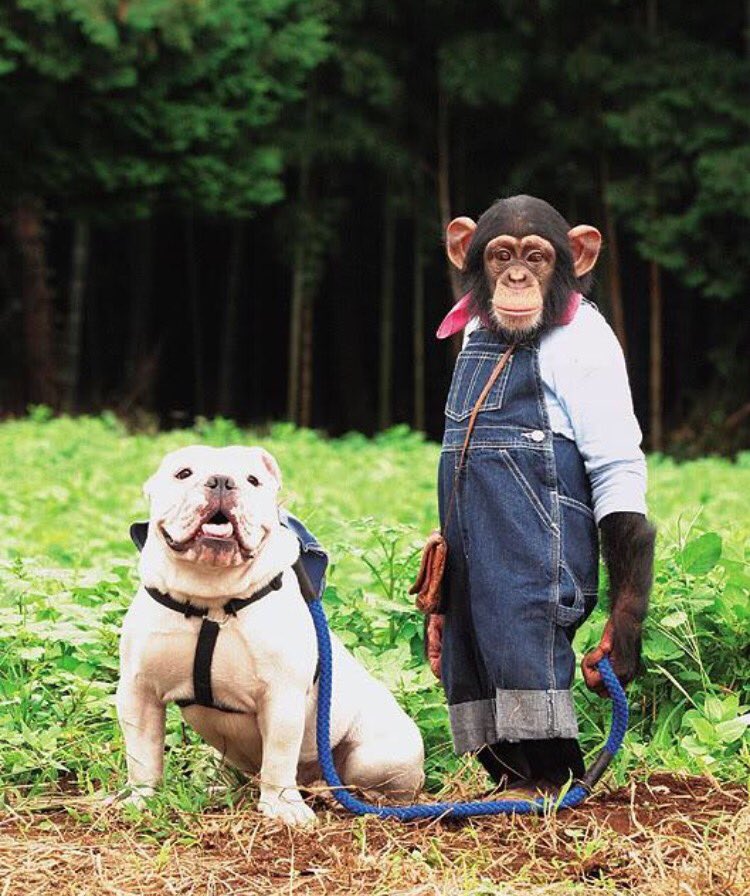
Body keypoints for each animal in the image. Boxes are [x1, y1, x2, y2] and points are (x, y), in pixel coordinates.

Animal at [428, 194, 656, 792]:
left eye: (537, 256)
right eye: (500, 254)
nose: (515, 278)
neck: (516, 344)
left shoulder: (596, 352)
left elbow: (616, 466)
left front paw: (619, 648)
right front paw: (432, 632)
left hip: (539, 575)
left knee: (523, 660)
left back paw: (551, 783)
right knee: (469, 681)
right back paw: (511, 781)